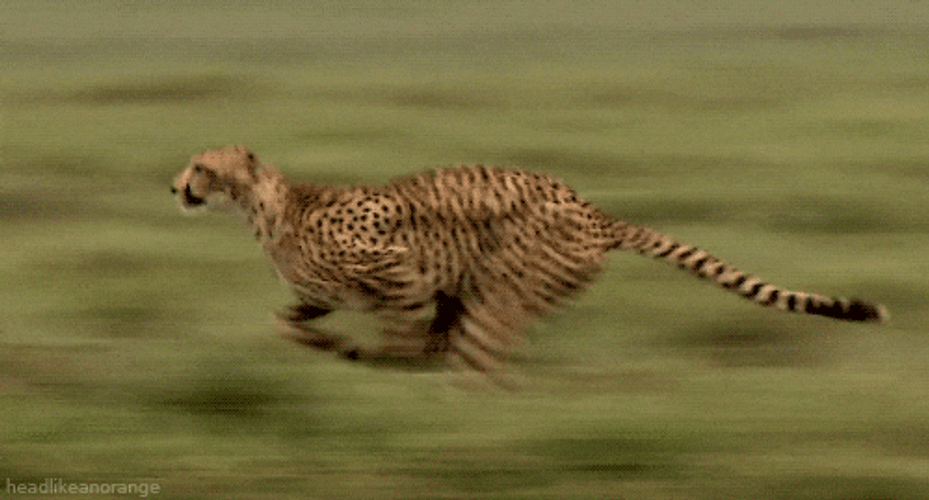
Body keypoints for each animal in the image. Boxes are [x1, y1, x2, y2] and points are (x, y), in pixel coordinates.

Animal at [171, 145, 887, 382]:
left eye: (203, 166)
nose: (176, 186)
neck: (267, 207)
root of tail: (594, 210)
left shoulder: (400, 269)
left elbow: (399, 331)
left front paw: (376, 360)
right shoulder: (326, 293)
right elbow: (287, 321)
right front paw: (332, 348)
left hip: (507, 280)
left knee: (484, 352)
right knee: (469, 342)